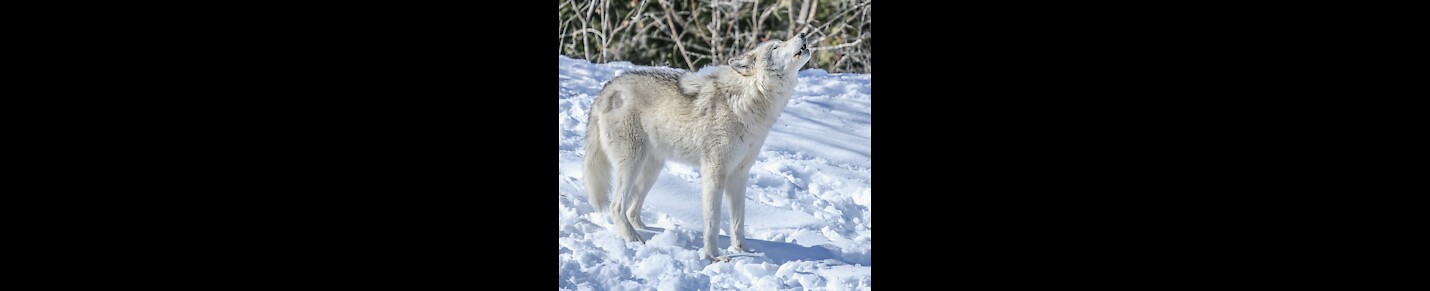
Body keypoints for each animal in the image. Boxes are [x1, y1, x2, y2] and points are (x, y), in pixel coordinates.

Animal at [583, 32, 817, 260]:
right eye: (776, 47)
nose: (803, 34)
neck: (746, 102)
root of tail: (608, 87)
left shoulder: (739, 175)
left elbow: (738, 222)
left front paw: (745, 251)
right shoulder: (715, 172)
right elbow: (713, 221)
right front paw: (713, 257)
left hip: (651, 171)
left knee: (632, 210)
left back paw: (651, 232)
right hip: (632, 164)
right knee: (616, 207)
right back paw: (633, 239)